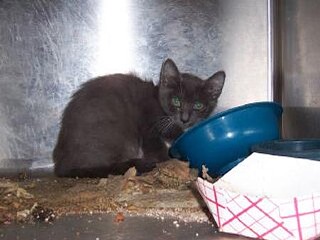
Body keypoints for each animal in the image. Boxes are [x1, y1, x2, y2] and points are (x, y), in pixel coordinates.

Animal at [53, 59, 225, 177]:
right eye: (177, 101)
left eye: (198, 105)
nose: (184, 118)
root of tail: (61, 165)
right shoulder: (148, 124)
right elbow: (157, 150)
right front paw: (169, 162)